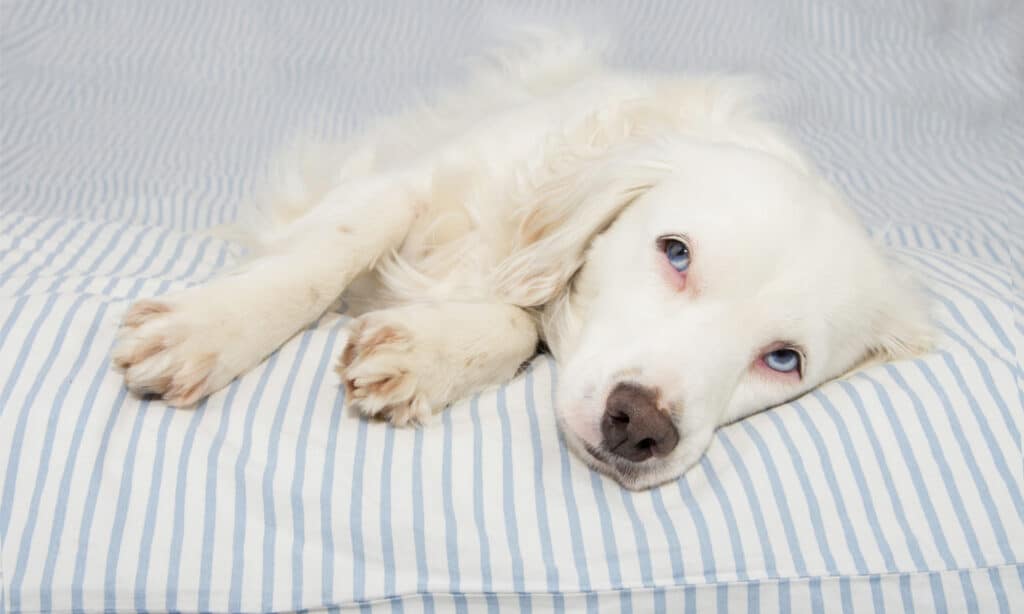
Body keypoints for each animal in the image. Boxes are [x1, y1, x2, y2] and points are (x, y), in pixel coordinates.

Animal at [110, 31, 929, 489]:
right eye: (675, 253)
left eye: (784, 360)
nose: (640, 426)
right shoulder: (408, 181)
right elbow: (326, 255)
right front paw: (207, 328)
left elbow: (515, 324)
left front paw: (425, 353)